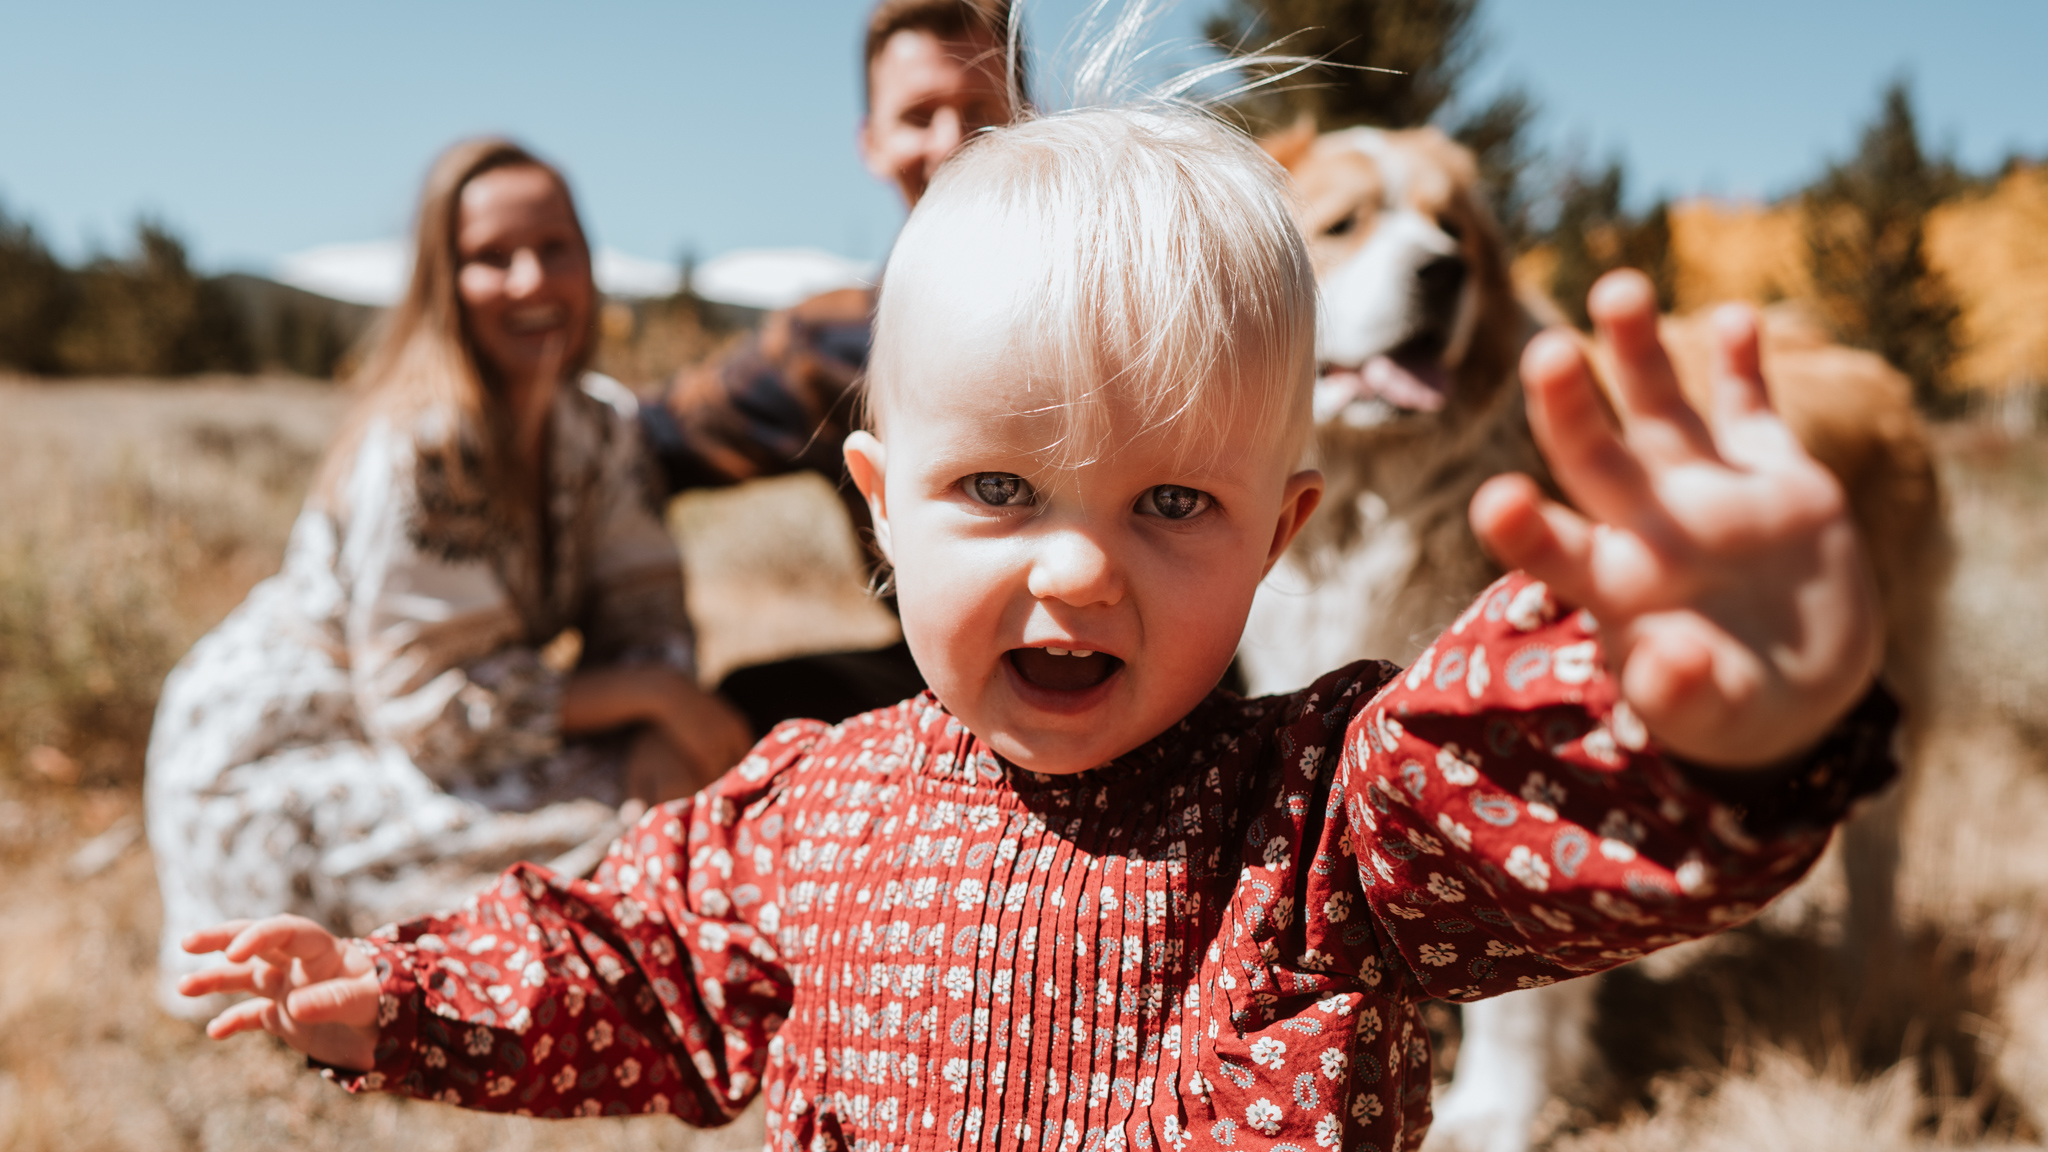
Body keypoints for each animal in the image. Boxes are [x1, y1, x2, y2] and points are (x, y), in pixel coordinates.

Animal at [1236, 120, 1941, 1147]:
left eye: (1451, 230)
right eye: (1341, 226)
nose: (1443, 271)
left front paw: (1496, 1109)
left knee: (1880, 858)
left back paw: (1871, 995)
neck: (1381, 495)